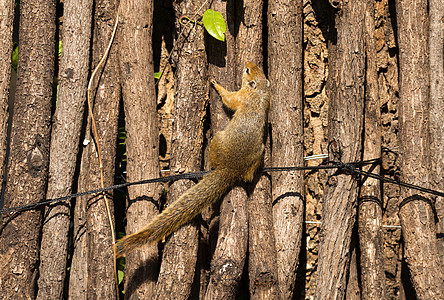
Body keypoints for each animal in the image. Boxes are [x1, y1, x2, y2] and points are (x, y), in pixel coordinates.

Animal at [114, 62, 270, 256]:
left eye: (248, 71)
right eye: (255, 69)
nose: (247, 63)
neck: (259, 92)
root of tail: (230, 168)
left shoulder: (240, 97)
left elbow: (228, 99)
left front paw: (216, 85)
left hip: (217, 140)